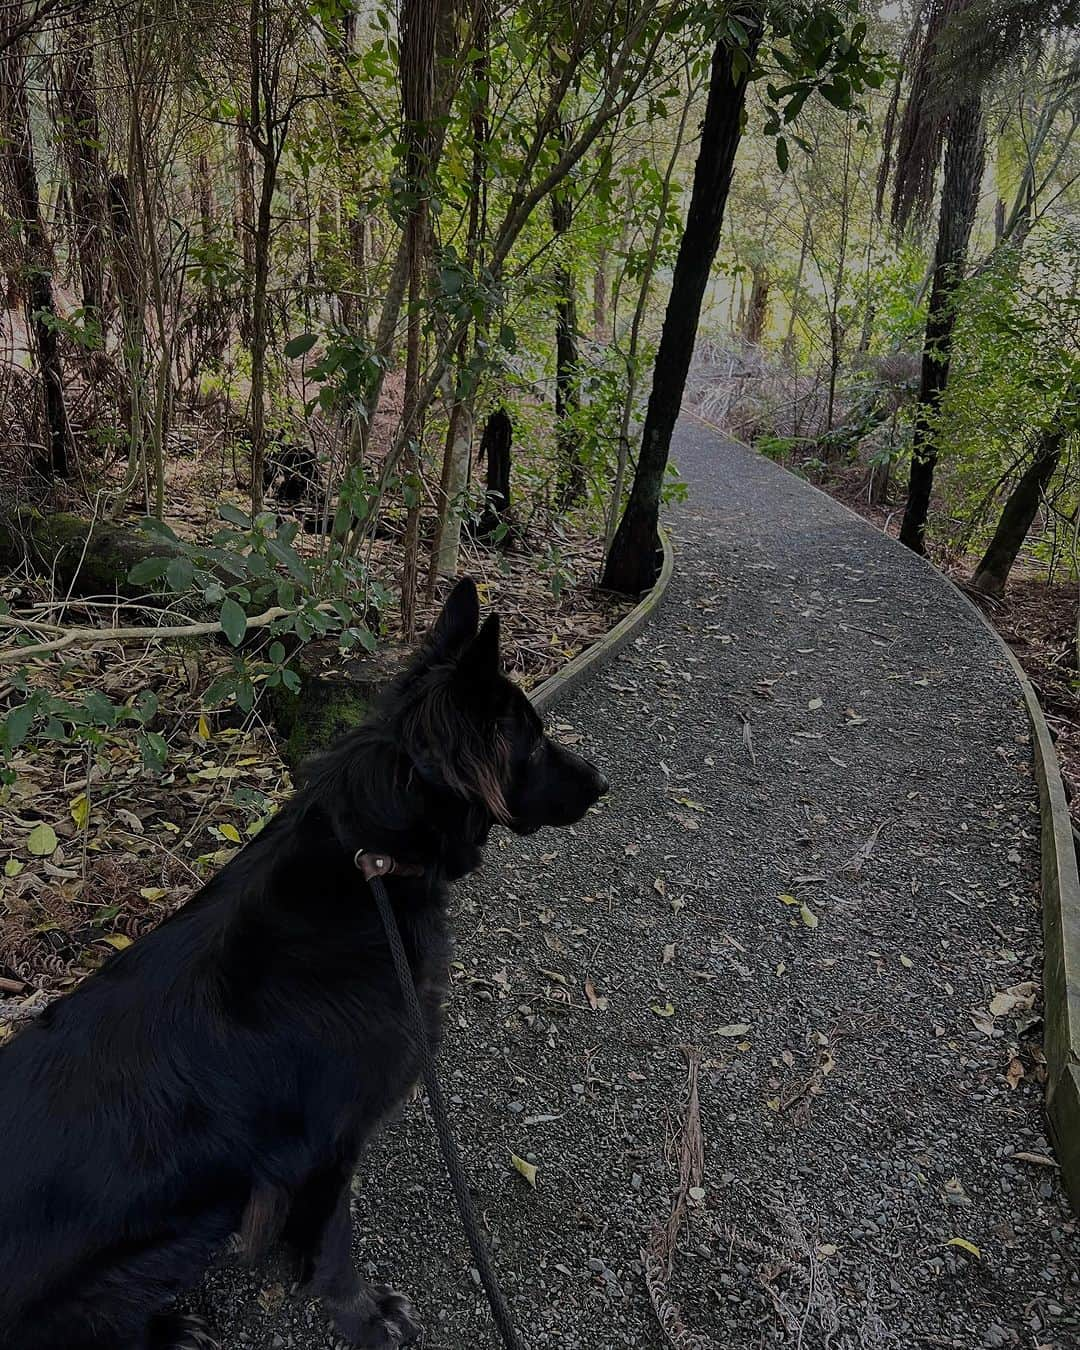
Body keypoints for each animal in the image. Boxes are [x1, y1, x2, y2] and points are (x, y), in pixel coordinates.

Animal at [0, 580, 607, 1350]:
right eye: (530, 743)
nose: (602, 783)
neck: (371, 863)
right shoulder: (330, 1141)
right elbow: (334, 1242)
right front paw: (361, 1316)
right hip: (182, 1228)